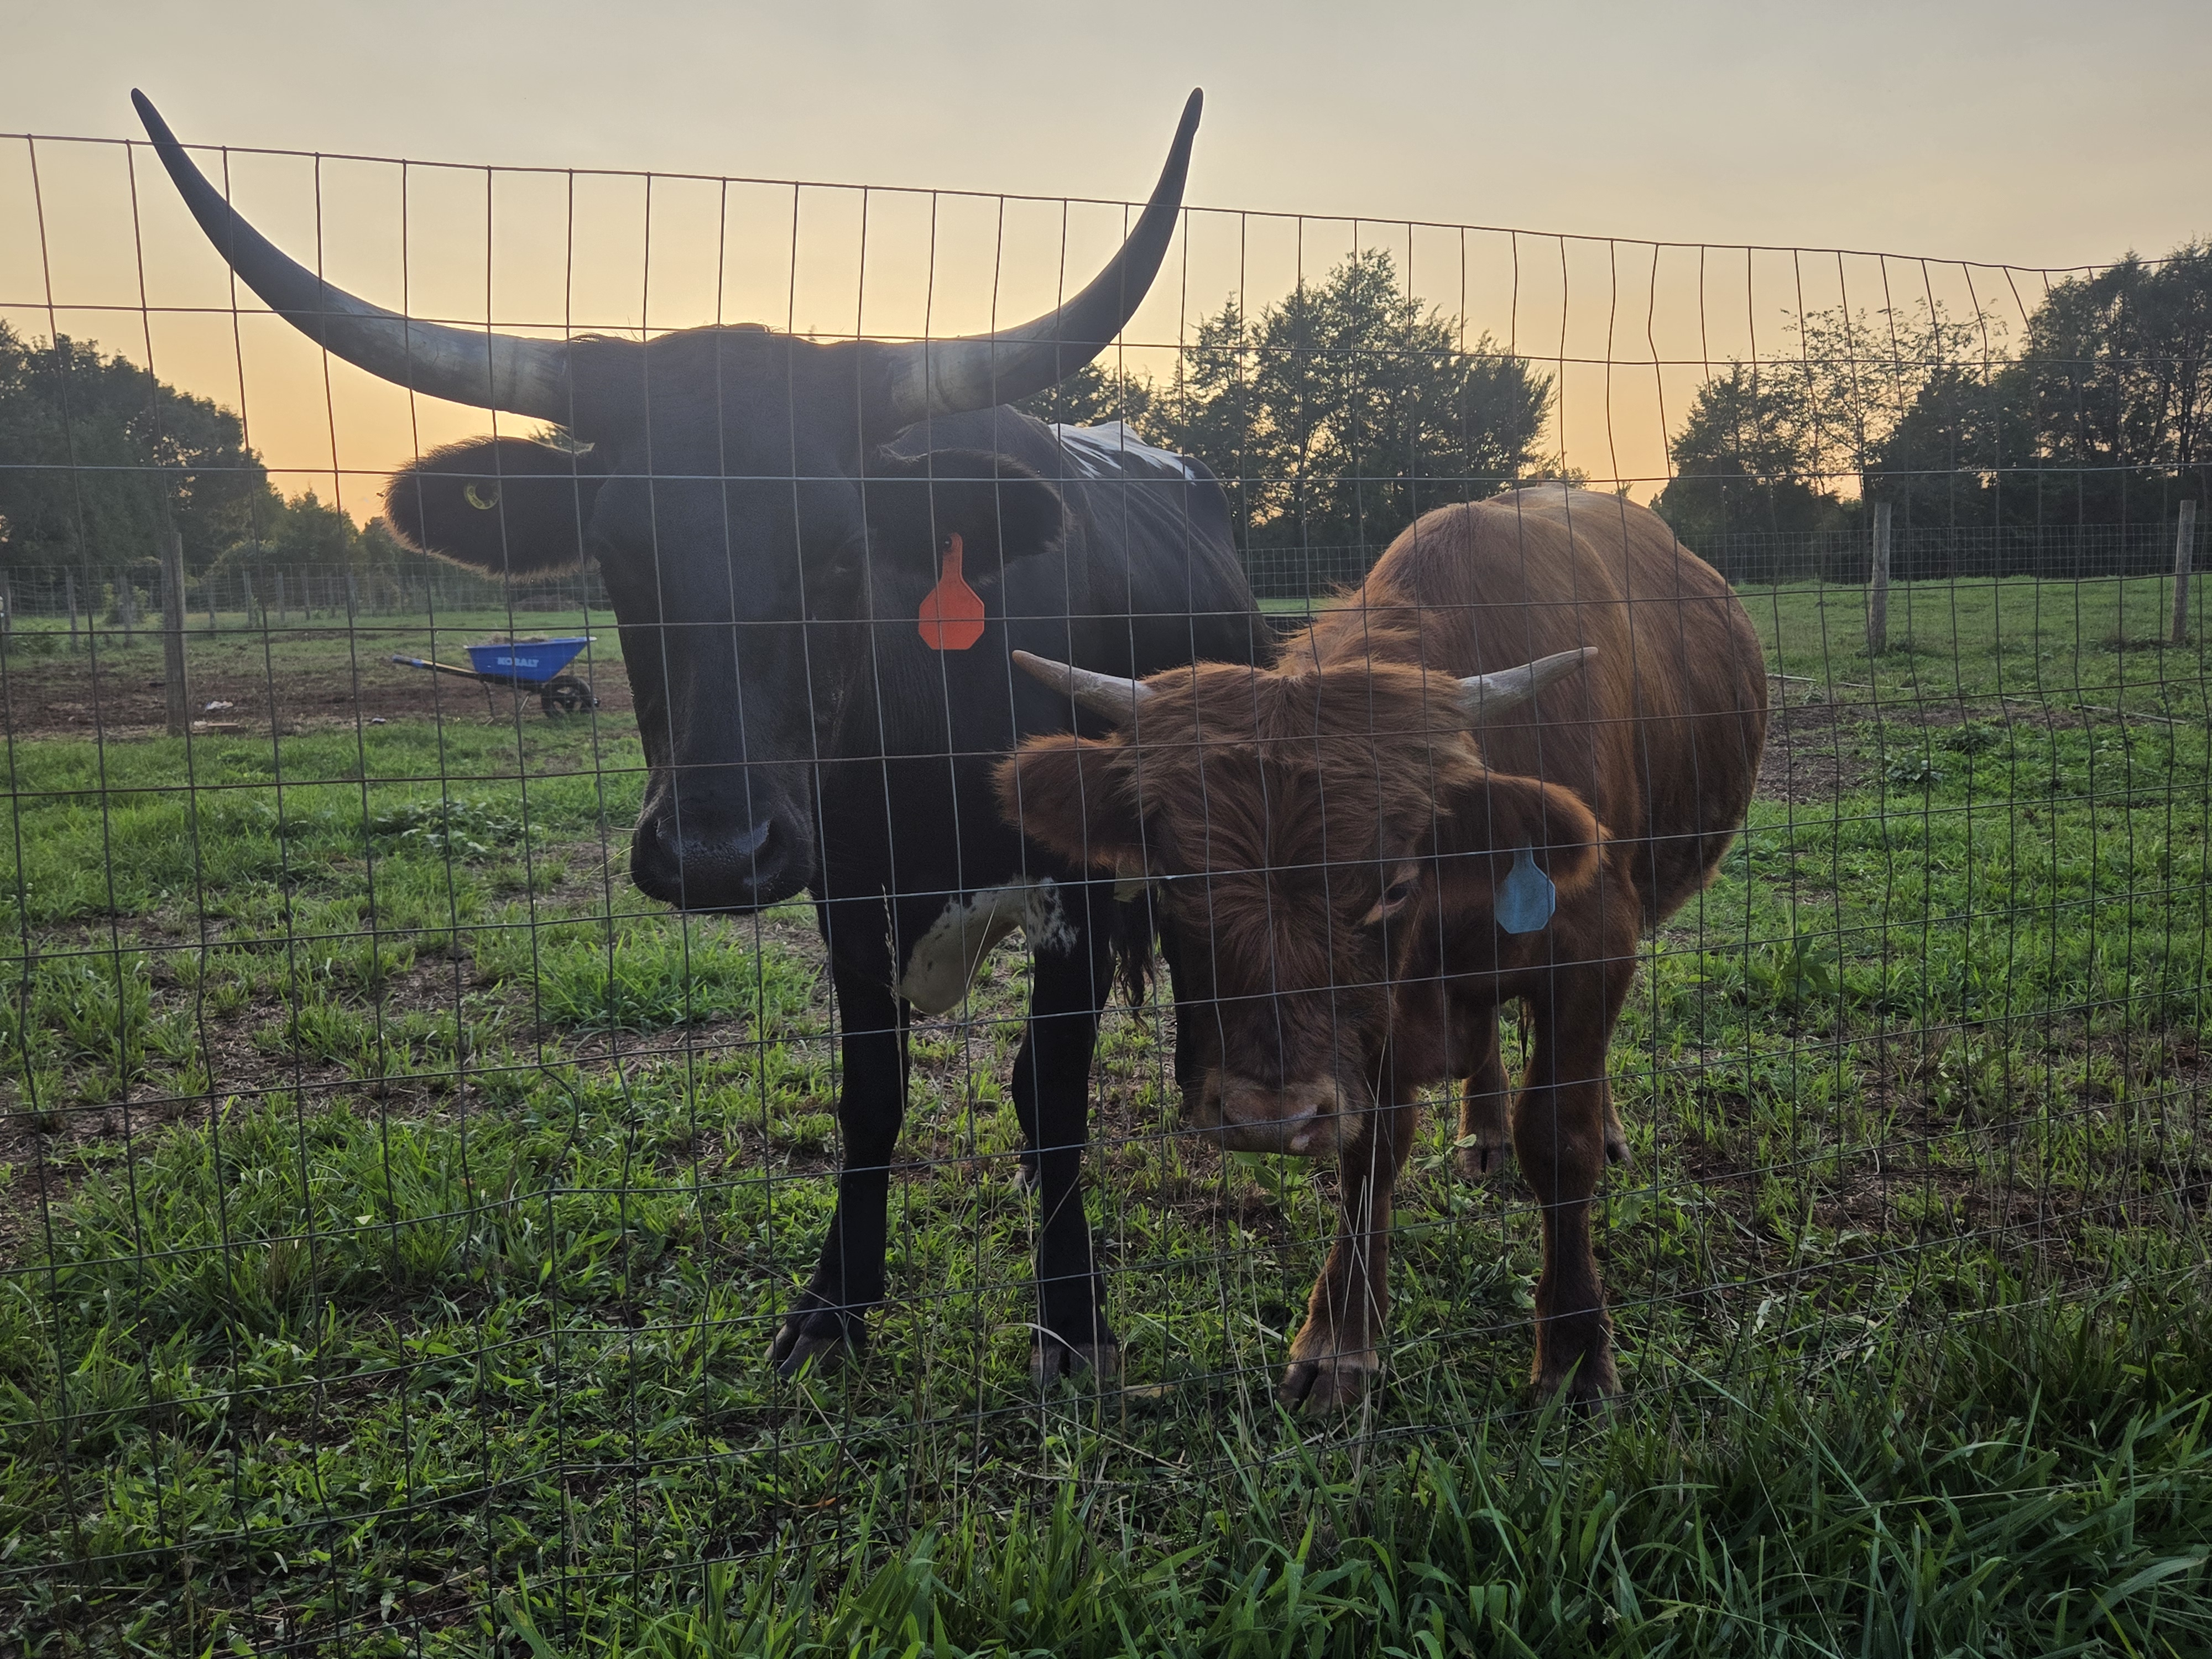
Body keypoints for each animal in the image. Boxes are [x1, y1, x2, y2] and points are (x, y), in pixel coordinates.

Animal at [136, 90, 1263, 1381]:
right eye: (620, 556)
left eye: (839, 553)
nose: (714, 856)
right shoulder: (844, 896)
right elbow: (872, 1097)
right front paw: (832, 1304)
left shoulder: (1067, 890)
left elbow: (1057, 1098)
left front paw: (1070, 1322)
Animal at [999, 486, 1768, 1410]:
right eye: (1173, 880)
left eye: (1395, 885)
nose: (1267, 1118)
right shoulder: (1375, 1023)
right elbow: (1371, 1152)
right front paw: (1340, 1339)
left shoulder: (1595, 949)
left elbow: (1561, 1138)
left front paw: (1578, 1351)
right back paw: (1481, 1135)